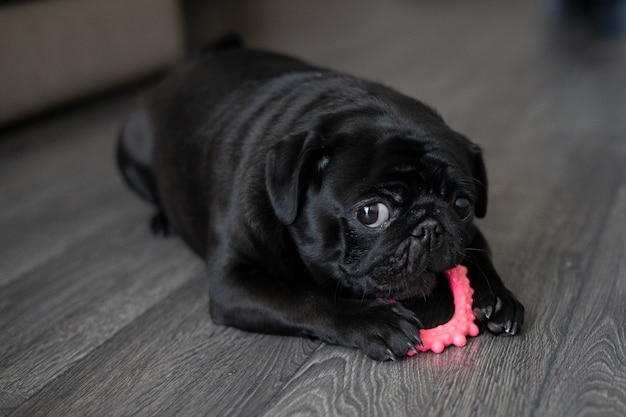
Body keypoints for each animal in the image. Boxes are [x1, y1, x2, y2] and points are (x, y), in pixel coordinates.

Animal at [117, 36, 520, 360]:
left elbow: (479, 254)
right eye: (371, 213)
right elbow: (307, 298)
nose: (429, 228)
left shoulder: (470, 234)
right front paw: (373, 320)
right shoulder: (233, 283)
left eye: (463, 205)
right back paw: (162, 219)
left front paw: (497, 297)